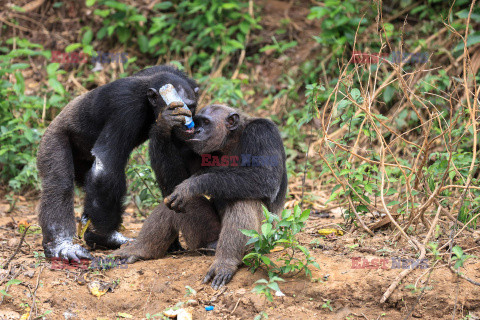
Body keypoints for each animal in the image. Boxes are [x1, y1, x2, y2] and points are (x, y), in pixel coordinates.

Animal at [37, 65, 221, 262]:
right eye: (176, 107)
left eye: (191, 106)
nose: (187, 120)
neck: (148, 104)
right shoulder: (125, 106)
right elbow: (106, 164)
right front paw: (105, 236)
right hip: (53, 139)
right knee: (60, 185)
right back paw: (62, 246)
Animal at [114, 104, 286, 288]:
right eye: (197, 122)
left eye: (206, 122)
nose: (197, 130)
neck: (230, 140)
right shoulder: (194, 151)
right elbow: (176, 182)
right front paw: (165, 123)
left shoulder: (263, 132)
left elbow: (265, 177)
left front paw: (192, 185)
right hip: (202, 240)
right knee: (175, 202)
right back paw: (139, 250)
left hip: (260, 242)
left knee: (244, 201)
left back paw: (225, 262)